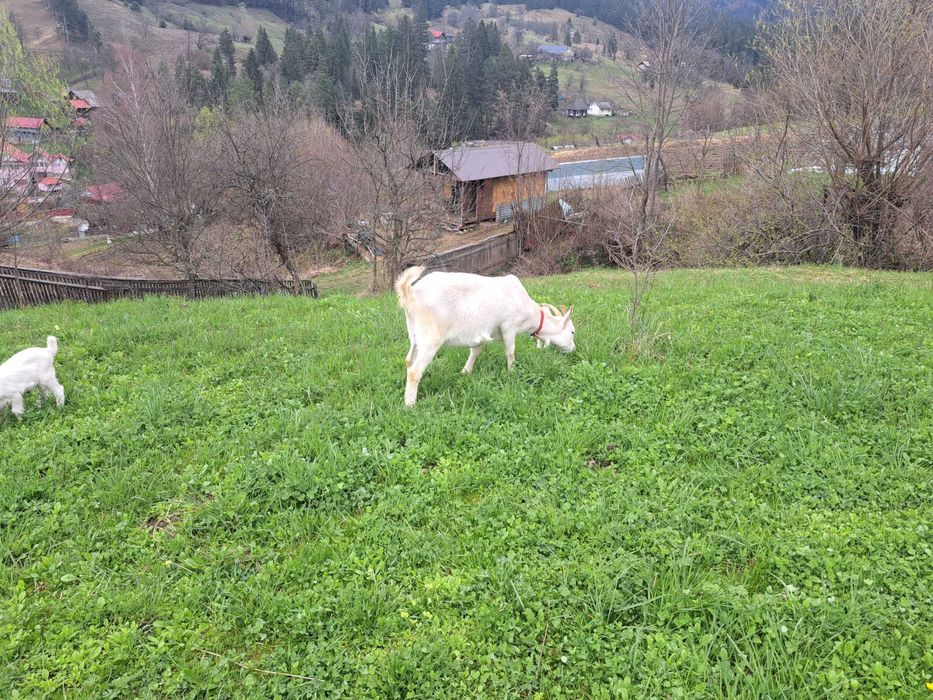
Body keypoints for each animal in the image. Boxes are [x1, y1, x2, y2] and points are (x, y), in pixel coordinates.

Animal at [395, 266, 575, 406]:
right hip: (430, 337)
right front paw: (511, 372)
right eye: (572, 332)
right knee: (415, 371)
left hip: (414, 335)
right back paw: (410, 405)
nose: (573, 350)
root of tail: (409, 292)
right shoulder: (509, 326)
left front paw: (465, 372)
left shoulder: (481, 332)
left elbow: (475, 351)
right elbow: (510, 352)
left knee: (408, 361)